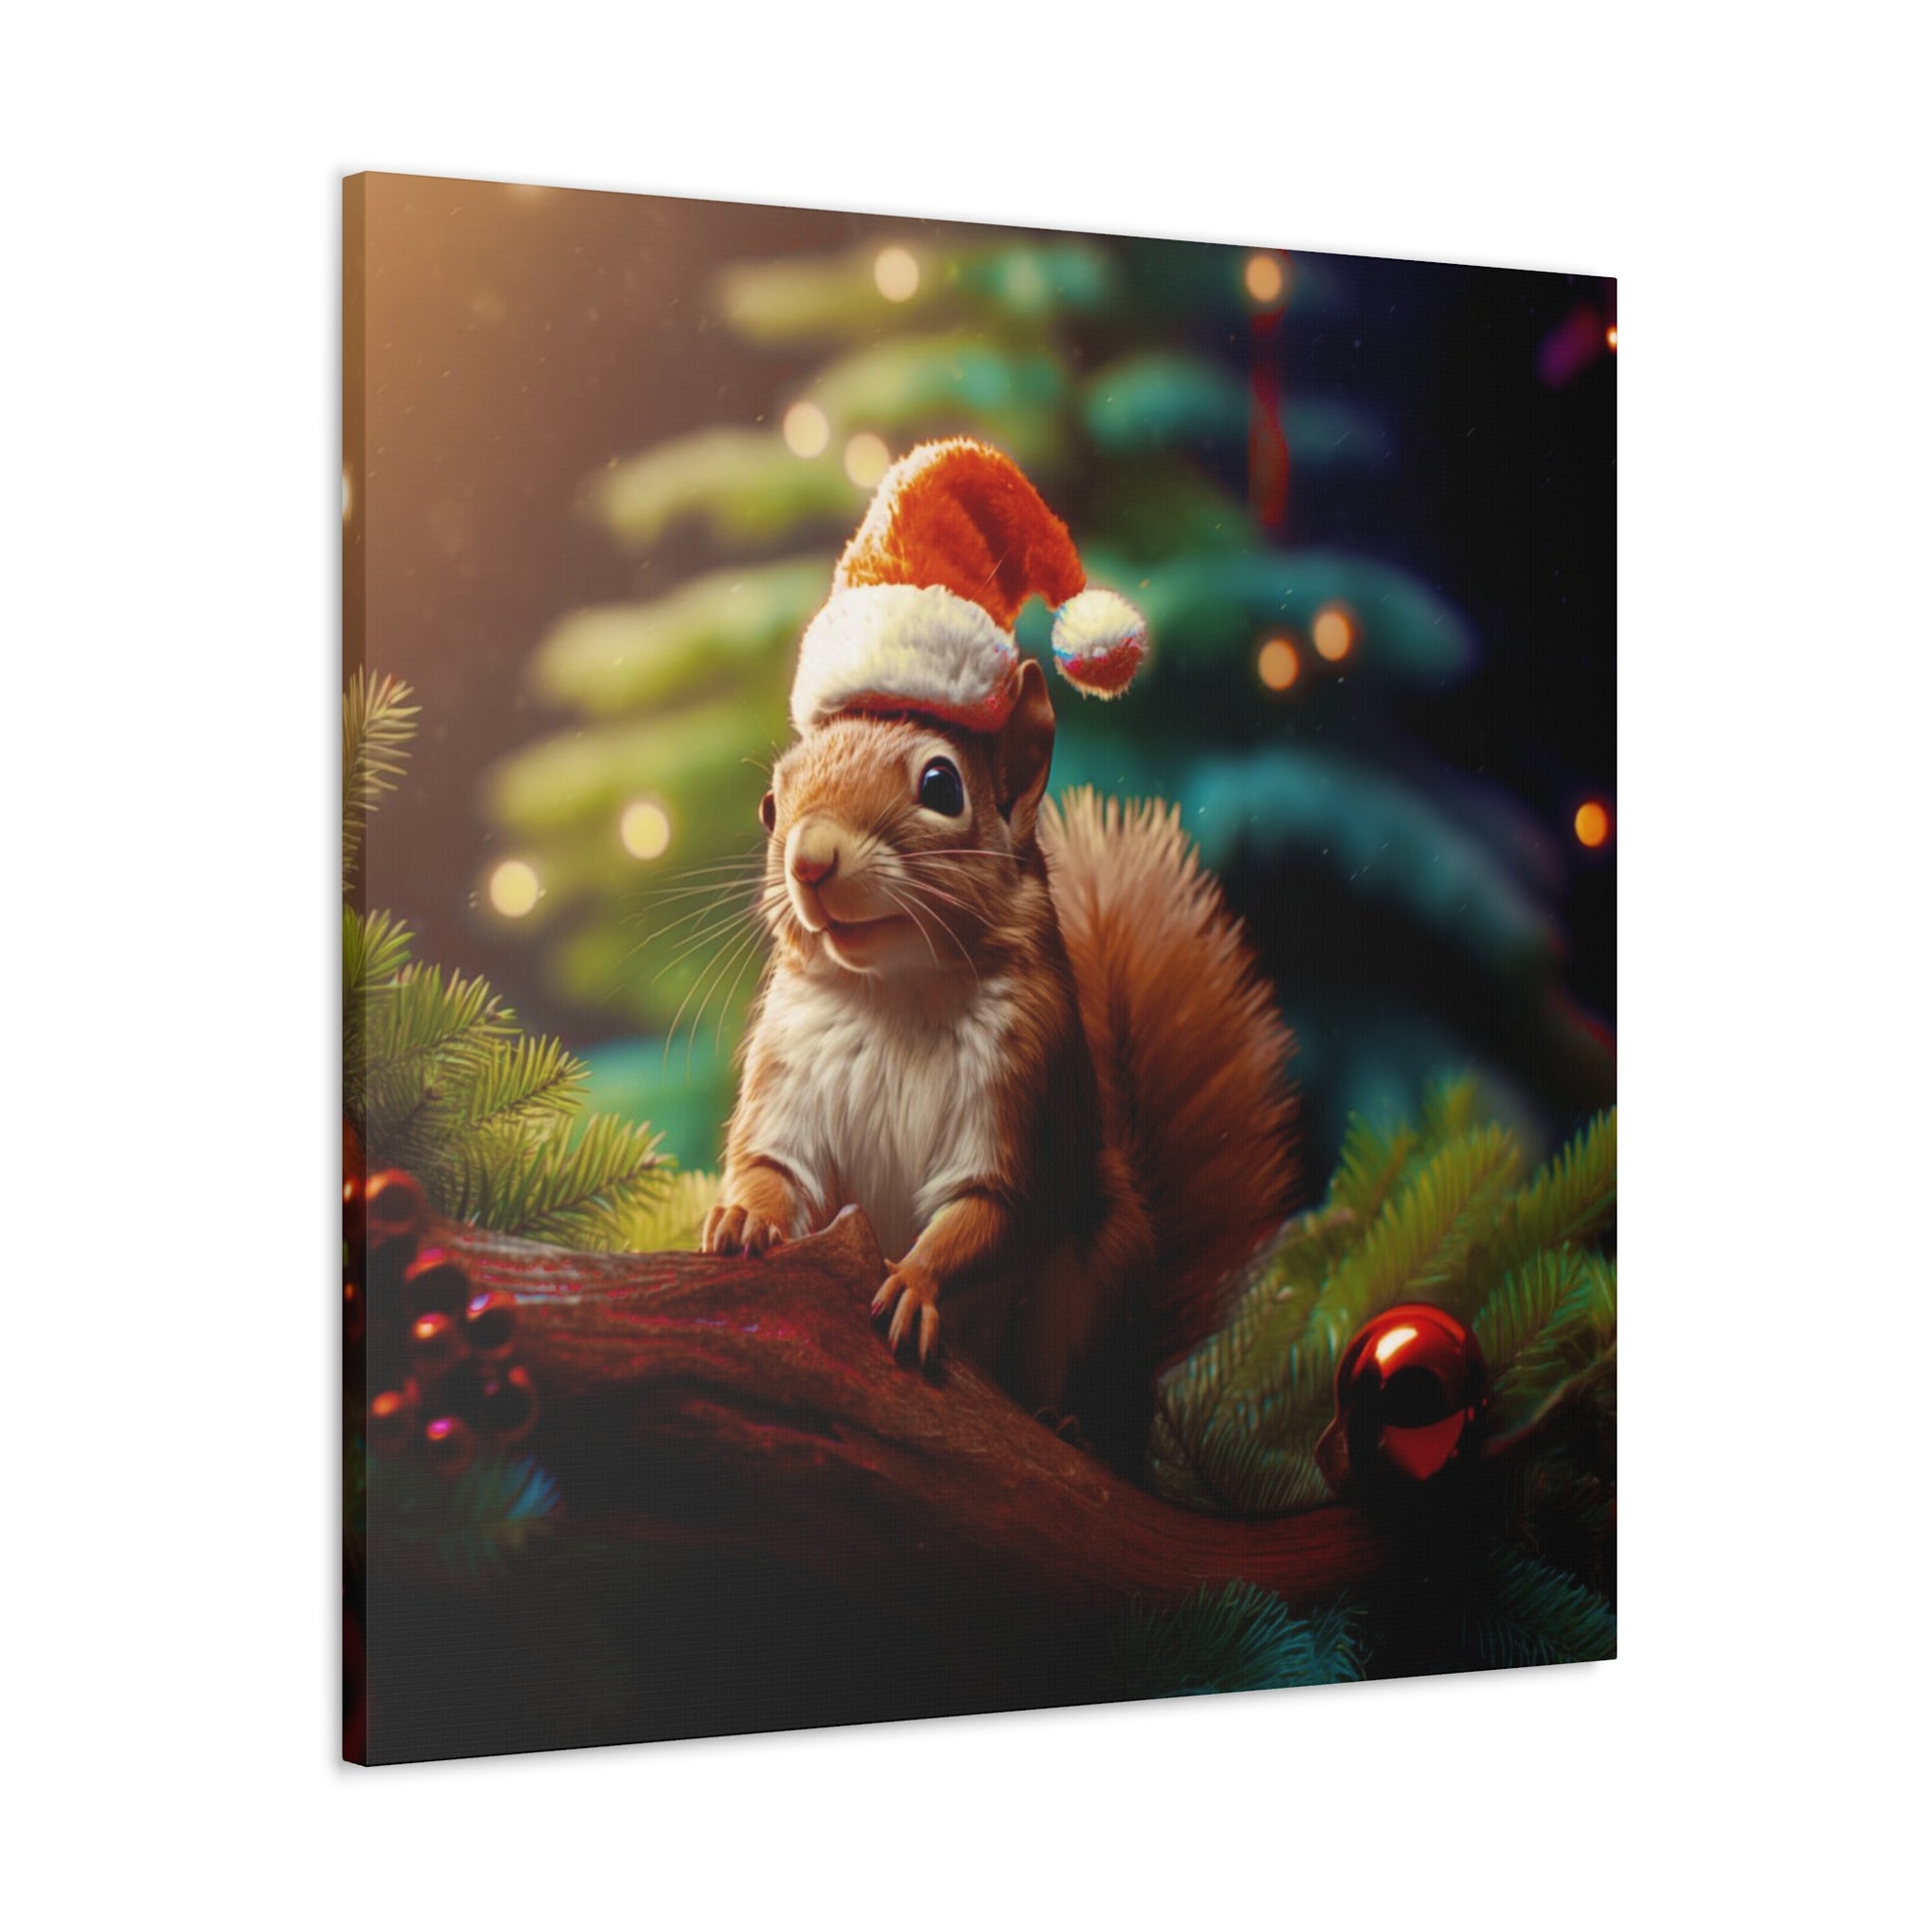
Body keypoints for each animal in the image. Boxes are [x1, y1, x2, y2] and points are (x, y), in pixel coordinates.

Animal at [700, 439, 1296, 1470]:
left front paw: (916, 1282)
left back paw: (1066, 1425)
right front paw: (744, 1214)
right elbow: (775, 1165)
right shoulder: (788, 1073)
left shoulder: (1026, 1088)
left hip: (1098, 1277)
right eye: (773, 804)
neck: (895, 995)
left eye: (943, 785)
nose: (810, 859)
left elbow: (991, 1212)